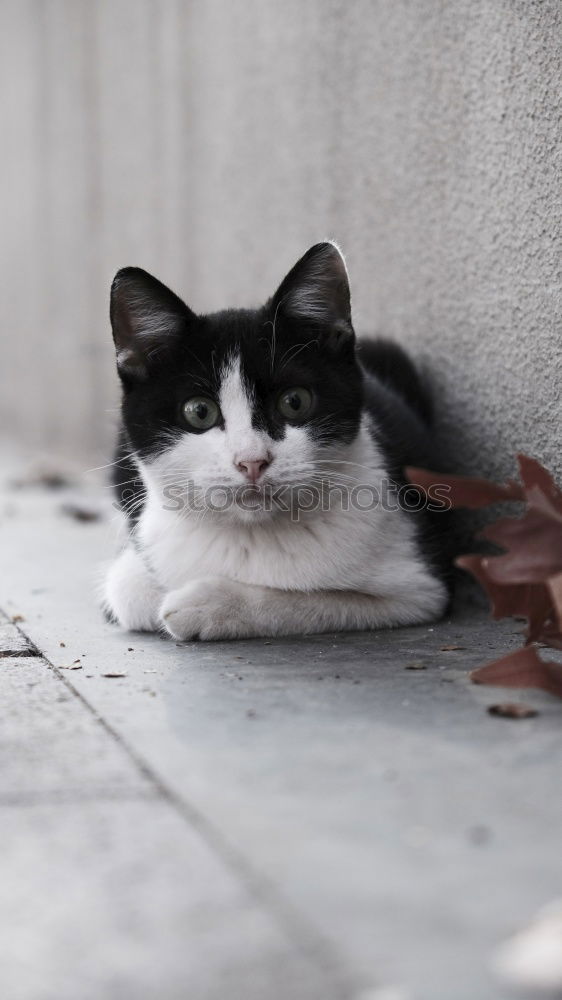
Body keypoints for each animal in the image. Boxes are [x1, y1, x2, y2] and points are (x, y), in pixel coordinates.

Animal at [101, 242, 450, 640]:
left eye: (294, 402)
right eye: (199, 412)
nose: (252, 460)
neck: (252, 534)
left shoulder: (419, 590)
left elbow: (318, 601)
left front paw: (206, 604)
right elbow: (128, 590)